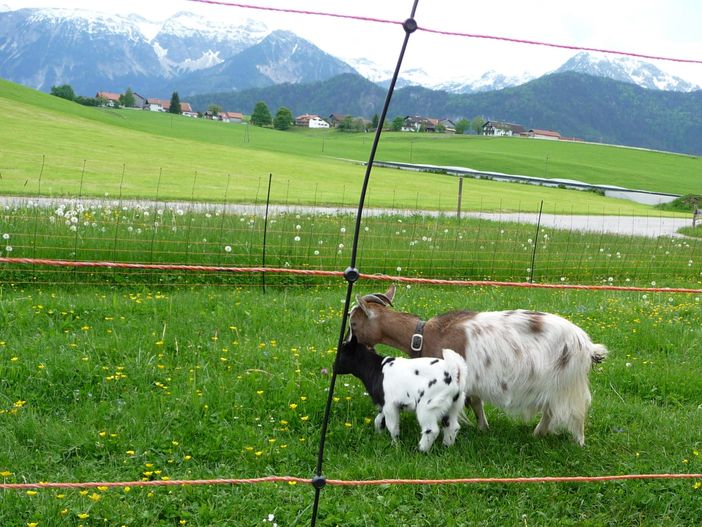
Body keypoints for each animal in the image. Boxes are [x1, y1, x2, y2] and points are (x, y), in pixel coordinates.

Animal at [350, 284, 612, 446]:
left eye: (353, 323)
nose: (348, 342)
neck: (423, 335)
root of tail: (587, 345)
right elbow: (477, 403)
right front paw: (484, 428)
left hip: (565, 382)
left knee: (572, 411)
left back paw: (575, 442)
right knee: (551, 410)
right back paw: (539, 434)